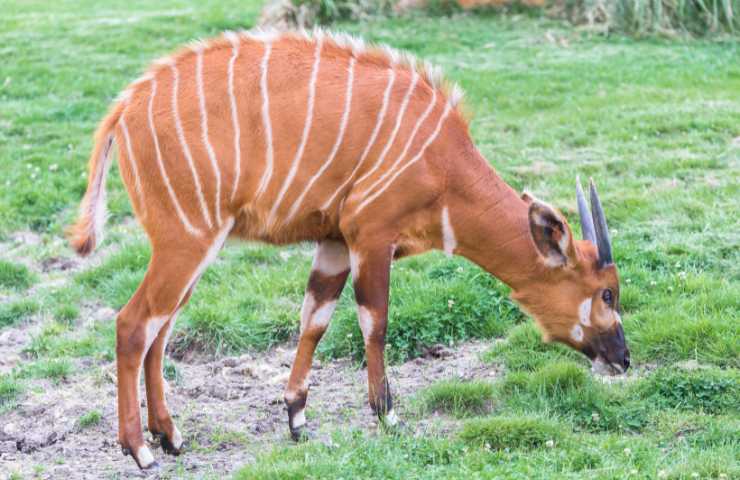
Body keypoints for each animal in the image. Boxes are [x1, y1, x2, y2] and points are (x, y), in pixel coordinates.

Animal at [69, 27, 632, 468]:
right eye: (607, 293)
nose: (623, 359)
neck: (444, 167)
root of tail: (124, 107)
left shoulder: (334, 242)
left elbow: (314, 319)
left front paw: (296, 416)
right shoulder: (370, 235)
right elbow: (374, 321)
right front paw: (389, 415)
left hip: (191, 246)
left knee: (160, 329)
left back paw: (170, 436)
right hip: (187, 237)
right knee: (134, 323)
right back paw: (139, 449)